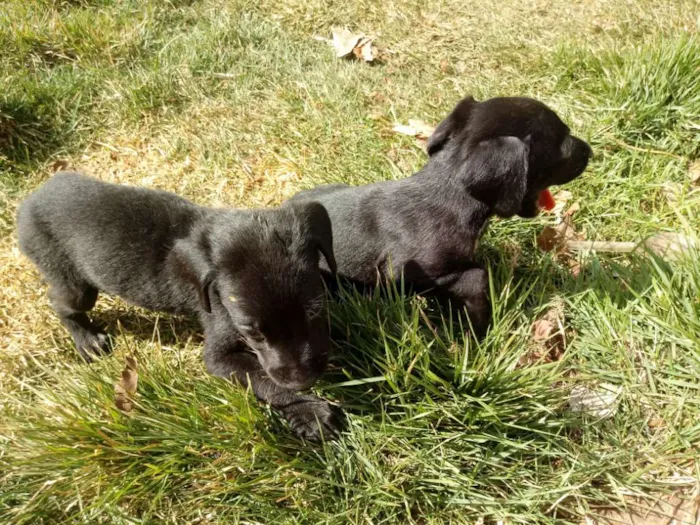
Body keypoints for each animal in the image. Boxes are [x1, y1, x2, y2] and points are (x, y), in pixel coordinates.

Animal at [16, 171, 342, 438]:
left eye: (315, 311)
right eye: (252, 333)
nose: (303, 381)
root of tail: (28, 203)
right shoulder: (220, 350)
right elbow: (262, 378)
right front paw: (310, 411)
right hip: (73, 282)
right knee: (61, 303)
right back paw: (87, 340)